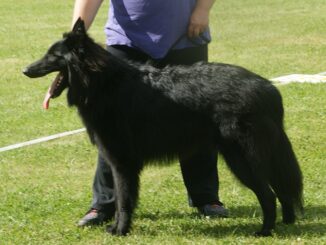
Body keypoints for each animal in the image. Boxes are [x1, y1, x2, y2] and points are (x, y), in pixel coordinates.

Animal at [22, 18, 304, 236]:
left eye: (53, 55)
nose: (25, 70)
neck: (104, 83)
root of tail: (268, 88)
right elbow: (125, 198)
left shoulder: (122, 163)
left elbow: (123, 199)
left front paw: (120, 230)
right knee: (282, 187)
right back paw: (287, 222)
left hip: (242, 159)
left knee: (268, 194)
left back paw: (265, 230)